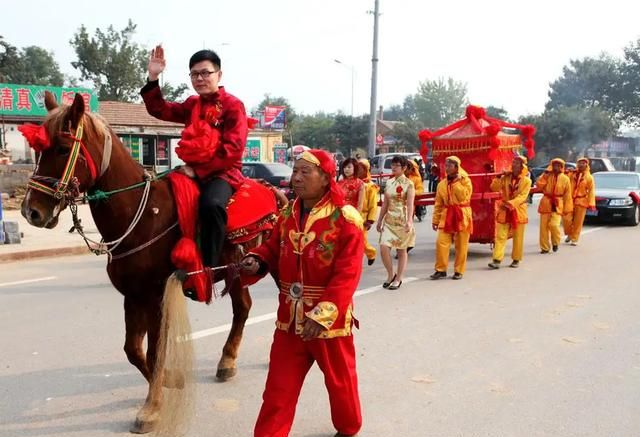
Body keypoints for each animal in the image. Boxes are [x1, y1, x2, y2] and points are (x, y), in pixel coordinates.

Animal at [21, 92, 280, 432]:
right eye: (38, 150)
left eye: (63, 148)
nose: (31, 211)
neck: (141, 215)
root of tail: (278, 191)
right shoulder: (133, 295)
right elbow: (134, 350)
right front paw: (171, 380)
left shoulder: (157, 294)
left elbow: (156, 350)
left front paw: (152, 408)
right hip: (240, 268)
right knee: (244, 307)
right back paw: (227, 361)